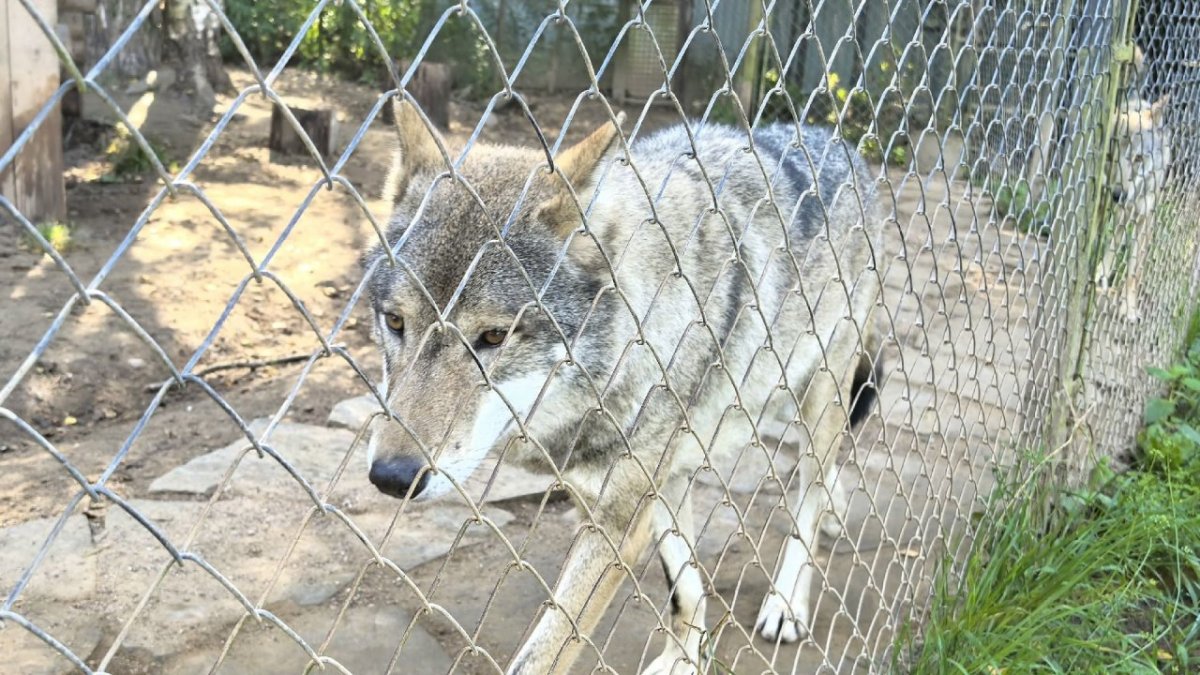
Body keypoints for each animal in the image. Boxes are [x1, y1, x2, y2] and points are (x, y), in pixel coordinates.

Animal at [360, 98, 884, 674]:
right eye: (395, 322)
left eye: (494, 335)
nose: (392, 477)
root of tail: (834, 140)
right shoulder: (644, 486)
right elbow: (684, 584)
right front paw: (683, 659)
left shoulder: (618, 520)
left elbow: (544, 654)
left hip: (820, 394)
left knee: (809, 491)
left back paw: (787, 601)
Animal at [1096, 48, 1171, 322]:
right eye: (1111, 156)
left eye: (1138, 158)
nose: (1118, 195)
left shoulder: (1144, 220)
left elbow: (1133, 273)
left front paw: (1128, 309)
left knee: (1115, 242)